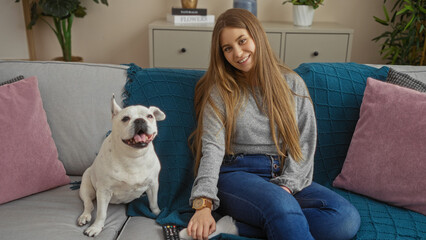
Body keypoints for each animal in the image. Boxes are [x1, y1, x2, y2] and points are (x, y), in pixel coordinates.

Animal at [77, 95, 166, 236]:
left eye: (150, 116)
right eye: (125, 118)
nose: (140, 120)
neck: (133, 157)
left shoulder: (153, 185)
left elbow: (153, 202)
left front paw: (157, 213)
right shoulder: (104, 191)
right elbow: (101, 213)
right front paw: (96, 227)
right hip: (86, 187)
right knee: (88, 203)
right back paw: (85, 216)